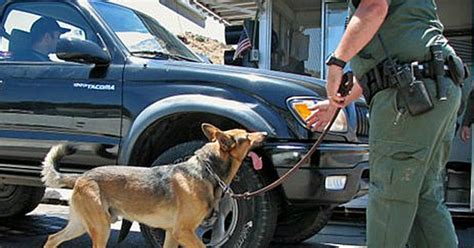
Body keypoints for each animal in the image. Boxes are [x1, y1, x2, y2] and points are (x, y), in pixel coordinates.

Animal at [40, 124, 266, 248]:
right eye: (247, 137)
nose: (265, 133)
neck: (207, 170)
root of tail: (81, 177)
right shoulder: (184, 232)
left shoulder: (172, 234)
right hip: (100, 228)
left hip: (82, 224)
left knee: (52, 238)